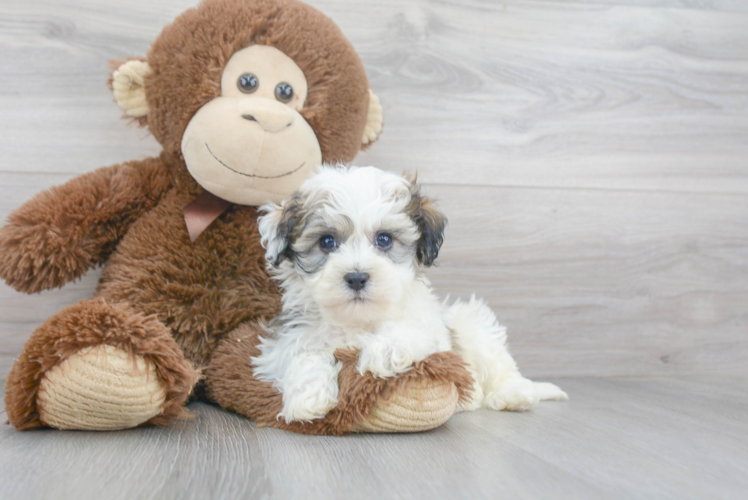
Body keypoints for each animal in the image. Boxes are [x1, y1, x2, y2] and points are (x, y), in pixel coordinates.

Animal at [253, 167, 568, 422]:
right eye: (327, 242)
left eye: (384, 239)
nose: (356, 277)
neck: (359, 320)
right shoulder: (288, 337)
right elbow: (301, 353)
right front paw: (309, 398)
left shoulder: (432, 333)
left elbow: (409, 332)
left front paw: (382, 352)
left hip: (472, 325)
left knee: (501, 366)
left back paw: (514, 395)